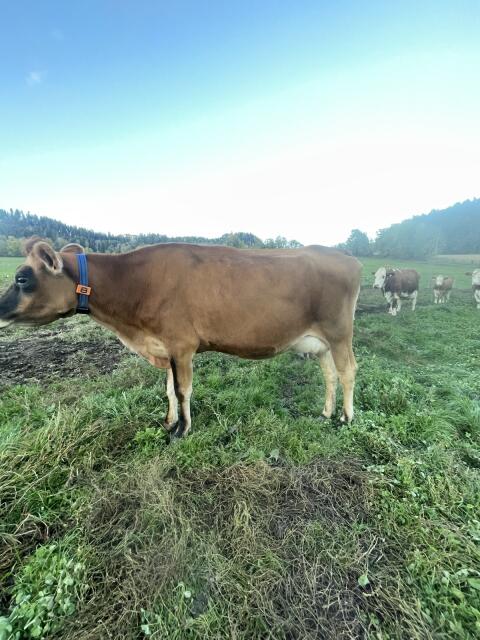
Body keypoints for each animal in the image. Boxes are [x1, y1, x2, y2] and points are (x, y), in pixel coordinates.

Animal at [0, 239, 362, 438]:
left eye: (21, 278)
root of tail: (346, 257)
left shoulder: (181, 344)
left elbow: (181, 389)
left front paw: (182, 430)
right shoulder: (165, 347)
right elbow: (168, 390)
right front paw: (169, 420)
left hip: (339, 332)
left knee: (347, 371)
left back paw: (346, 417)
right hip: (320, 342)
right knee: (330, 374)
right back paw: (326, 412)